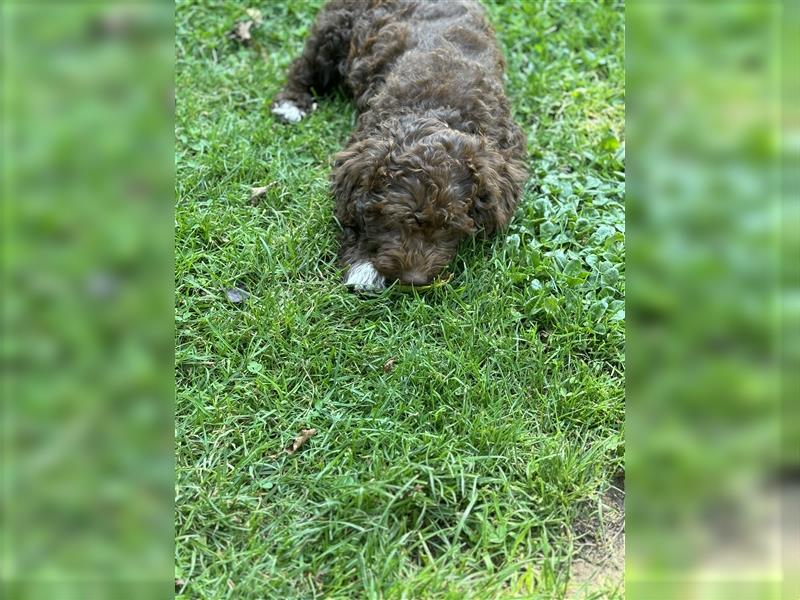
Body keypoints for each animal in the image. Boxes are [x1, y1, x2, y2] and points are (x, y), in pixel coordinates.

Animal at [272, 0, 528, 290]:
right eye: (393, 221)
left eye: (448, 226)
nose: (413, 280)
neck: (435, 111)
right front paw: (363, 265)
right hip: (333, 30)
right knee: (306, 65)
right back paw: (291, 103)